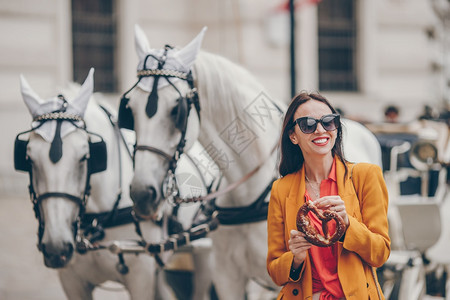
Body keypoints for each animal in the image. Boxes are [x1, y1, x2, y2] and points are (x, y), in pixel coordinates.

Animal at [123, 26, 384, 300]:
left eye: (177, 110)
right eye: (130, 109)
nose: (142, 194)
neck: (247, 193)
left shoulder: (266, 281)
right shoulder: (227, 277)